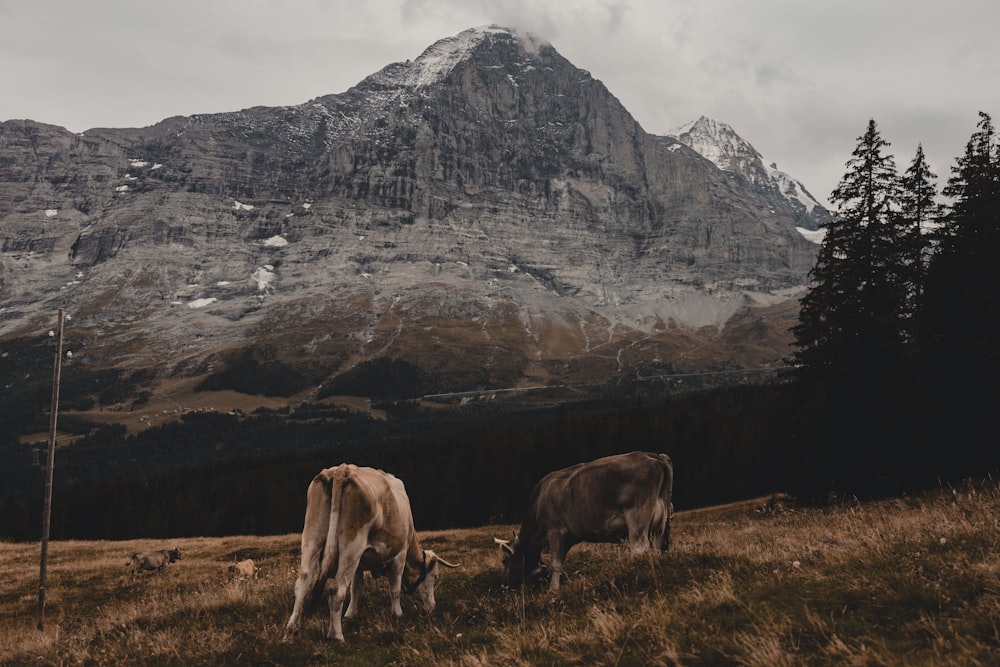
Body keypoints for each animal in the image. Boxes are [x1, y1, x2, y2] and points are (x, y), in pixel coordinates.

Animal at [278, 464, 458, 640]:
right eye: (435, 577)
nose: (432, 607)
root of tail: (342, 469)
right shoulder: (399, 554)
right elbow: (395, 588)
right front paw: (397, 614)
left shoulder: (359, 564)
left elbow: (356, 589)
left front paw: (350, 614)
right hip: (352, 545)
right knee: (337, 590)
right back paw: (336, 635)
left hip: (312, 537)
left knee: (302, 583)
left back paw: (291, 630)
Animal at [492, 452, 672, 592]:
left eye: (504, 561)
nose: (504, 586)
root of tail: (654, 456)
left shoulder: (556, 530)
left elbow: (556, 563)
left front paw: (553, 590)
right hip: (660, 523)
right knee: (656, 547)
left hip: (637, 516)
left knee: (639, 548)